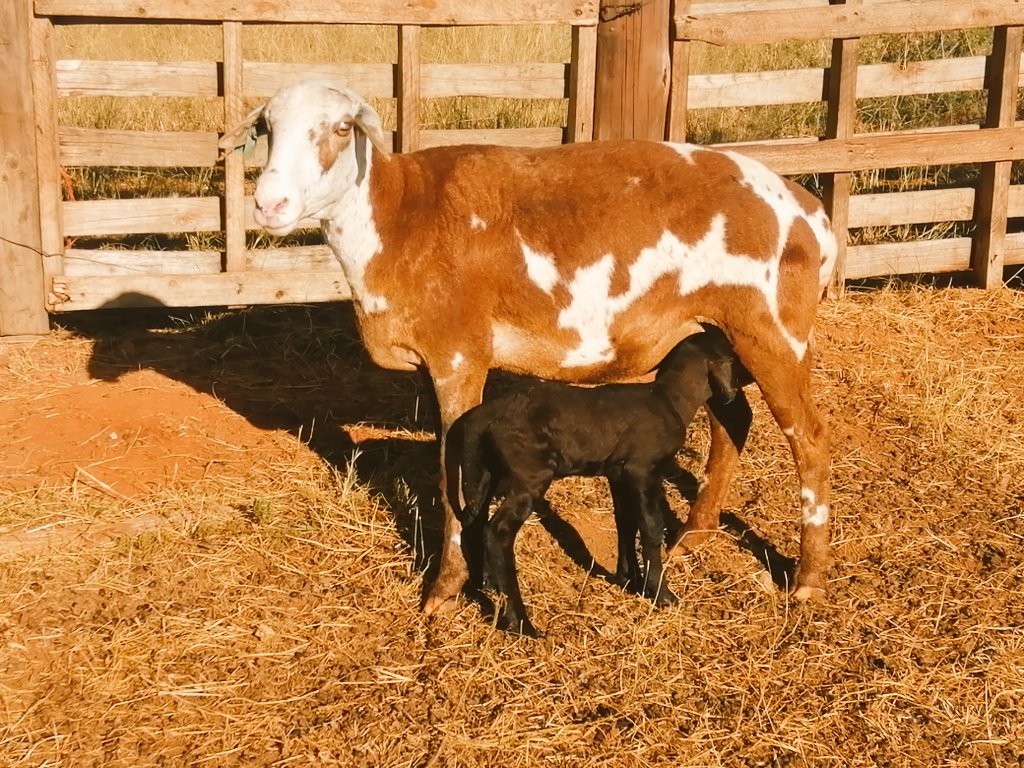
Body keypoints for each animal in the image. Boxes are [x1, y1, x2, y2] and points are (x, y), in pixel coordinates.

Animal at [447, 327, 752, 636]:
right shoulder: (641, 469)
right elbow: (651, 526)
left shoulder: (618, 474)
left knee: (474, 521)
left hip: (483, 472)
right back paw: (520, 622)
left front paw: (630, 578)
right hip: (529, 475)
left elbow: (626, 521)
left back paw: (485, 584)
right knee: (498, 531)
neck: (669, 399)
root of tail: (479, 418)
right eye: (732, 359)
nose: (746, 380)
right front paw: (661, 593)